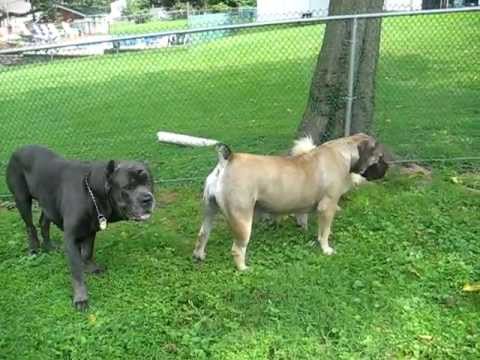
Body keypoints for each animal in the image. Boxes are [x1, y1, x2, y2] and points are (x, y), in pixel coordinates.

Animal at [6, 146, 156, 310]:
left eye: (149, 183)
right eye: (128, 187)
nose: (147, 198)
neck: (92, 191)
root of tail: (17, 150)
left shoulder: (91, 229)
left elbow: (87, 253)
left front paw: (91, 268)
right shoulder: (70, 239)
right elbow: (76, 270)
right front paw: (80, 298)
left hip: (48, 203)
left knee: (44, 222)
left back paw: (49, 246)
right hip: (22, 199)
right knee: (30, 226)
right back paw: (34, 249)